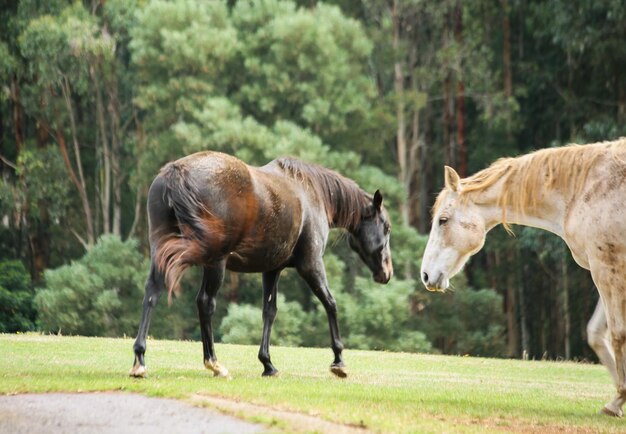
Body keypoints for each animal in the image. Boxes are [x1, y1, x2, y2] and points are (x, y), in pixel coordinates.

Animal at [130, 151, 392, 378]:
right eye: (387, 227)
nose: (387, 273)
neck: (312, 193)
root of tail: (178, 171)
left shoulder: (272, 269)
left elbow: (269, 311)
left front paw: (267, 363)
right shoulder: (311, 265)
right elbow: (330, 303)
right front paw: (339, 361)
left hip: (164, 253)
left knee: (152, 294)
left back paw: (140, 360)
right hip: (215, 263)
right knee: (205, 303)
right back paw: (213, 363)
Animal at [420, 140, 624, 418]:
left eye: (443, 220)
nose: (425, 275)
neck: (582, 189)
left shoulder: (606, 269)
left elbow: (617, 333)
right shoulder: (604, 270)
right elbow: (596, 333)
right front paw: (616, 402)